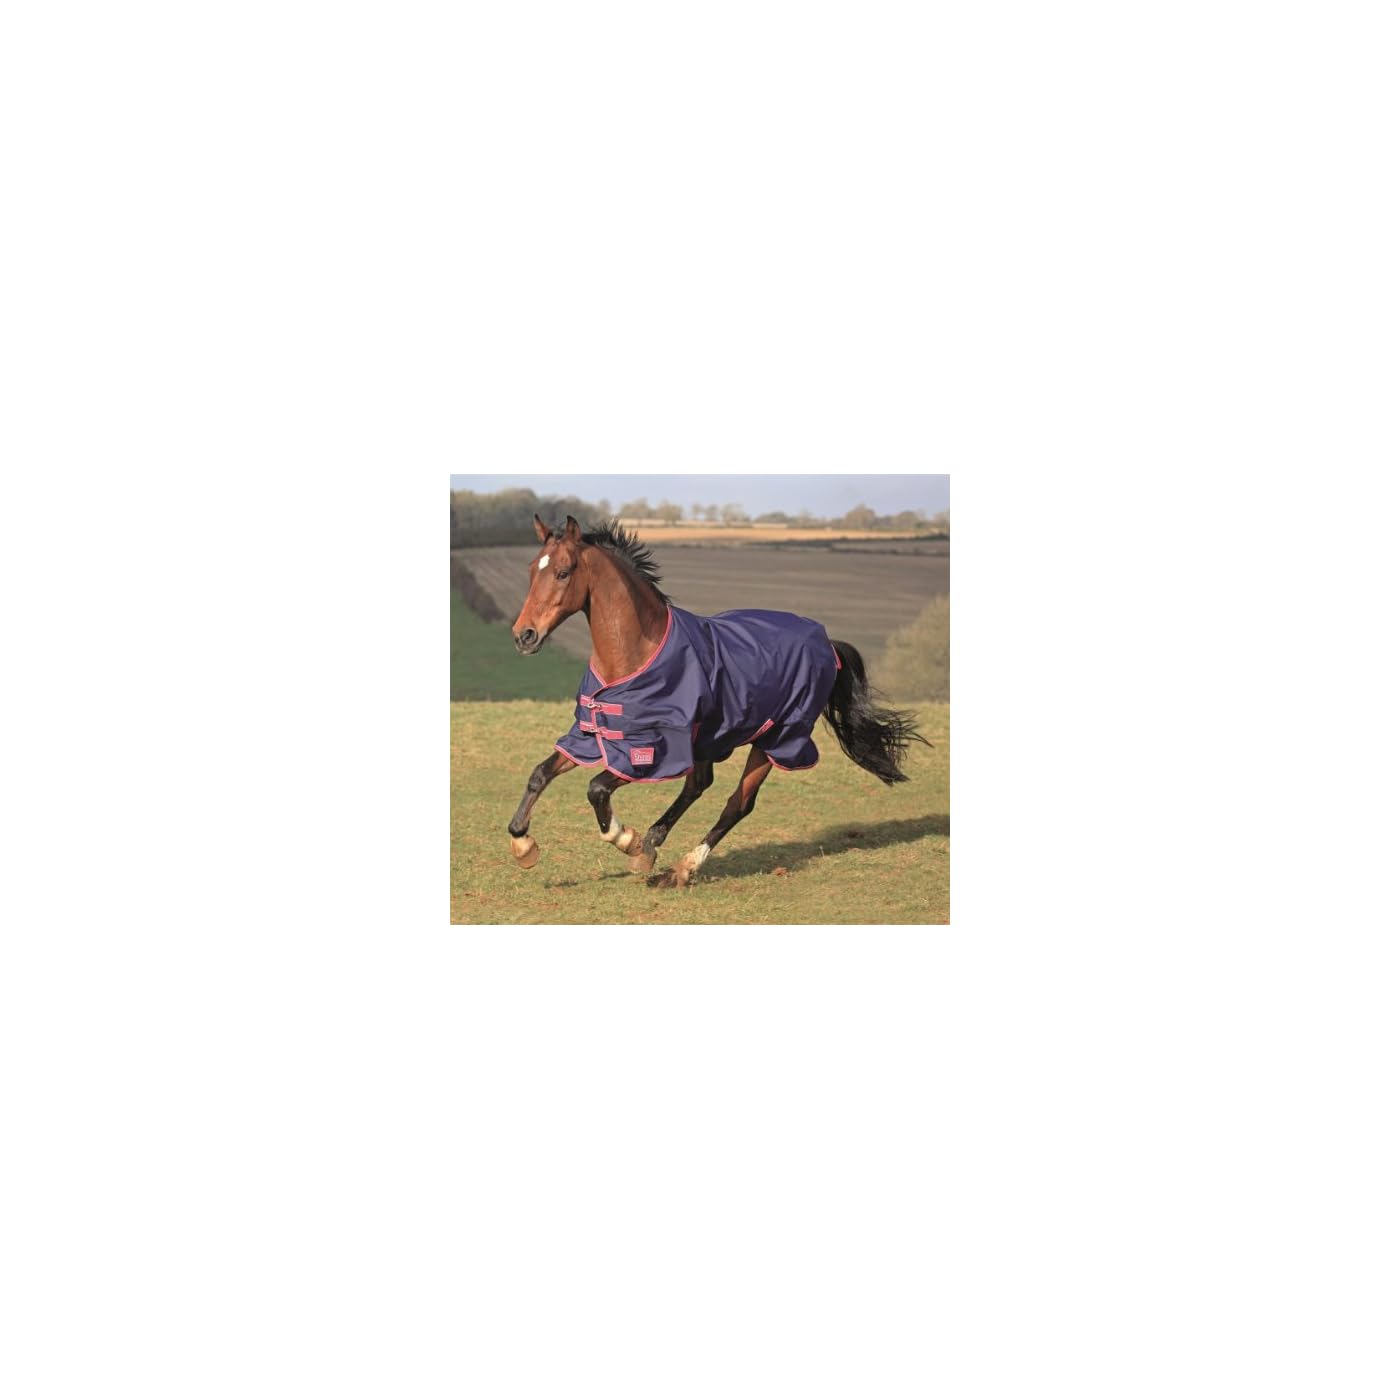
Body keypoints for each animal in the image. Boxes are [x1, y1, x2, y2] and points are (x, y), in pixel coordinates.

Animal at [506, 514, 927, 888]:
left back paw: (680, 869)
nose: (523, 636)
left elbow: (596, 788)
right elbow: (540, 773)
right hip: (712, 737)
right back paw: (654, 848)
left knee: (737, 804)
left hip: (776, 738)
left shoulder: (656, 749)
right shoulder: (591, 733)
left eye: (563, 572)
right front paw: (523, 844)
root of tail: (827, 643)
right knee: (699, 785)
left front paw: (627, 840)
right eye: (530, 570)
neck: (637, 653)